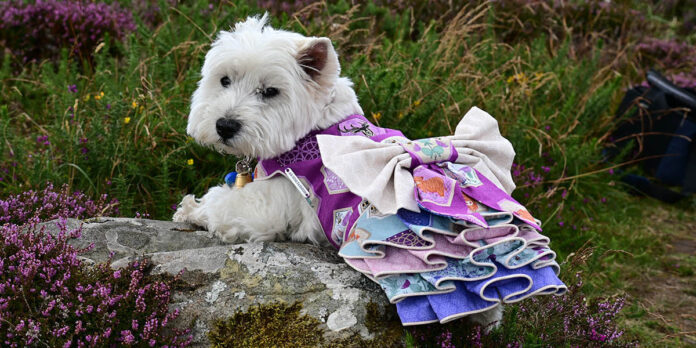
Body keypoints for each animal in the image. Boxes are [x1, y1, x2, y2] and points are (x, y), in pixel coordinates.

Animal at [171, 13, 502, 328]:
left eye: (270, 91)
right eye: (224, 80)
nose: (225, 126)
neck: (311, 130)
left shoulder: (270, 205)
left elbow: (223, 204)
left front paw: (190, 209)